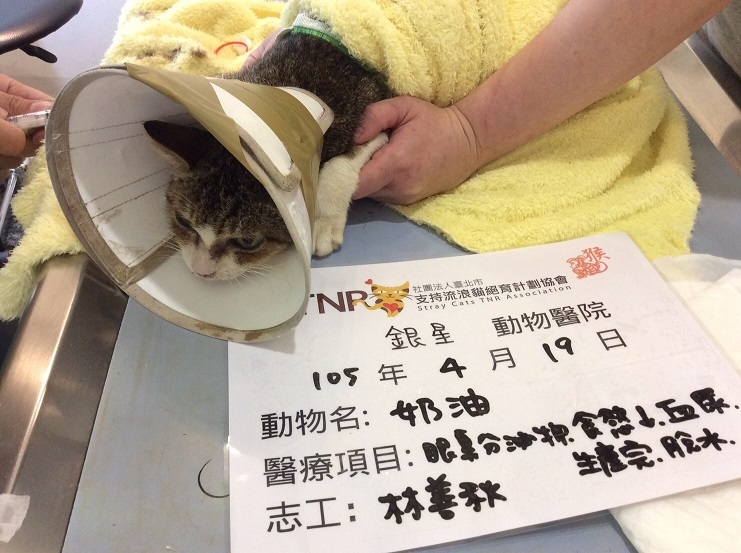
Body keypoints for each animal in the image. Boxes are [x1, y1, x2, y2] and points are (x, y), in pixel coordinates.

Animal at [144, 23, 393, 280]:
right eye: (182, 221)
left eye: (248, 241)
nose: (200, 271)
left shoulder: (375, 107)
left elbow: (342, 163)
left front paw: (323, 223)